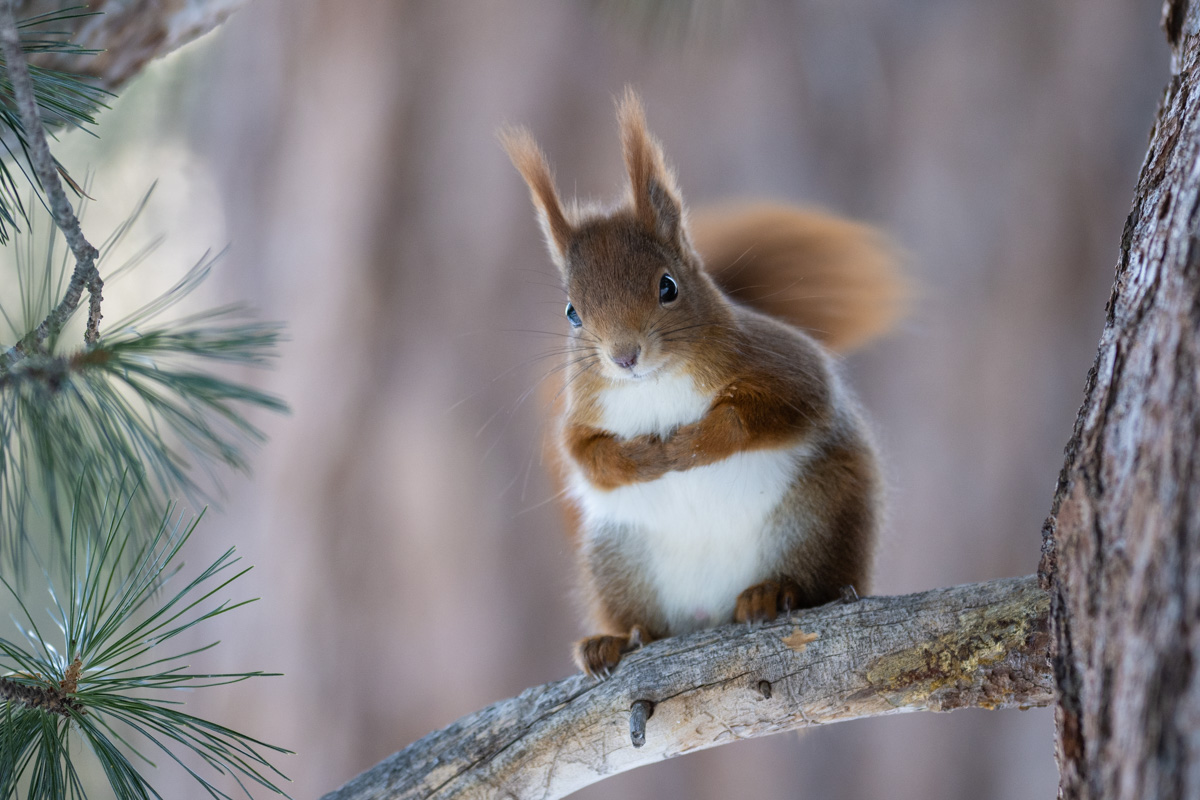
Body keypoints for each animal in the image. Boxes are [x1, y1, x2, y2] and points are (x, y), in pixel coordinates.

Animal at [501, 90, 902, 681]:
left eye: (668, 286)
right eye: (572, 313)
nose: (624, 357)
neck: (654, 384)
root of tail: (710, 611)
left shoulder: (784, 365)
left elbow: (767, 411)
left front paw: (694, 443)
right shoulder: (581, 416)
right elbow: (587, 456)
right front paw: (642, 458)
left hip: (817, 514)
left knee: (817, 583)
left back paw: (773, 592)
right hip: (618, 557)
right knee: (647, 625)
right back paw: (615, 641)